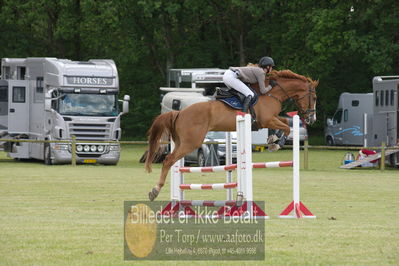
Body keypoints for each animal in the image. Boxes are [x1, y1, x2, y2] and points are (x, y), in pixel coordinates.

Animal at [146, 69, 318, 201]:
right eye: (314, 97)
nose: (312, 119)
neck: (271, 94)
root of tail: (179, 112)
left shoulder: (270, 120)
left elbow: (285, 122)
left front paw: (272, 139)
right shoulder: (267, 119)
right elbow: (287, 128)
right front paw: (276, 143)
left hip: (182, 142)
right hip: (191, 143)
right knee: (168, 160)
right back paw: (155, 190)